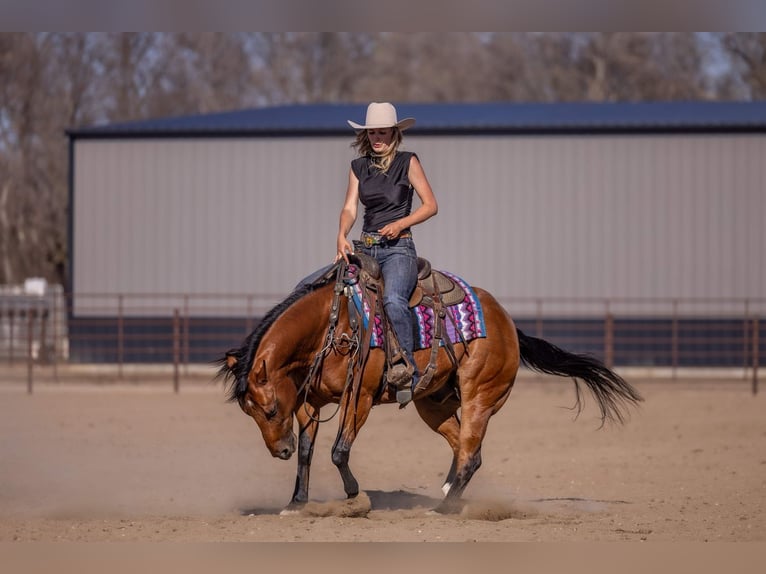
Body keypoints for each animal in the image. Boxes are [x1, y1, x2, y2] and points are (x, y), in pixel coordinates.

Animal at [216, 260, 643, 514]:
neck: (332, 324)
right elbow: (308, 452)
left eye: (270, 409)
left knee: (471, 453)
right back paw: (447, 490)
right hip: (434, 404)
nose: (280, 451)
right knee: (466, 448)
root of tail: (506, 322)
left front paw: (355, 496)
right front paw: (297, 502)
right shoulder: (309, 402)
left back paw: (446, 508)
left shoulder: (360, 397)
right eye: (249, 412)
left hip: (480, 396)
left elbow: (338, 451)